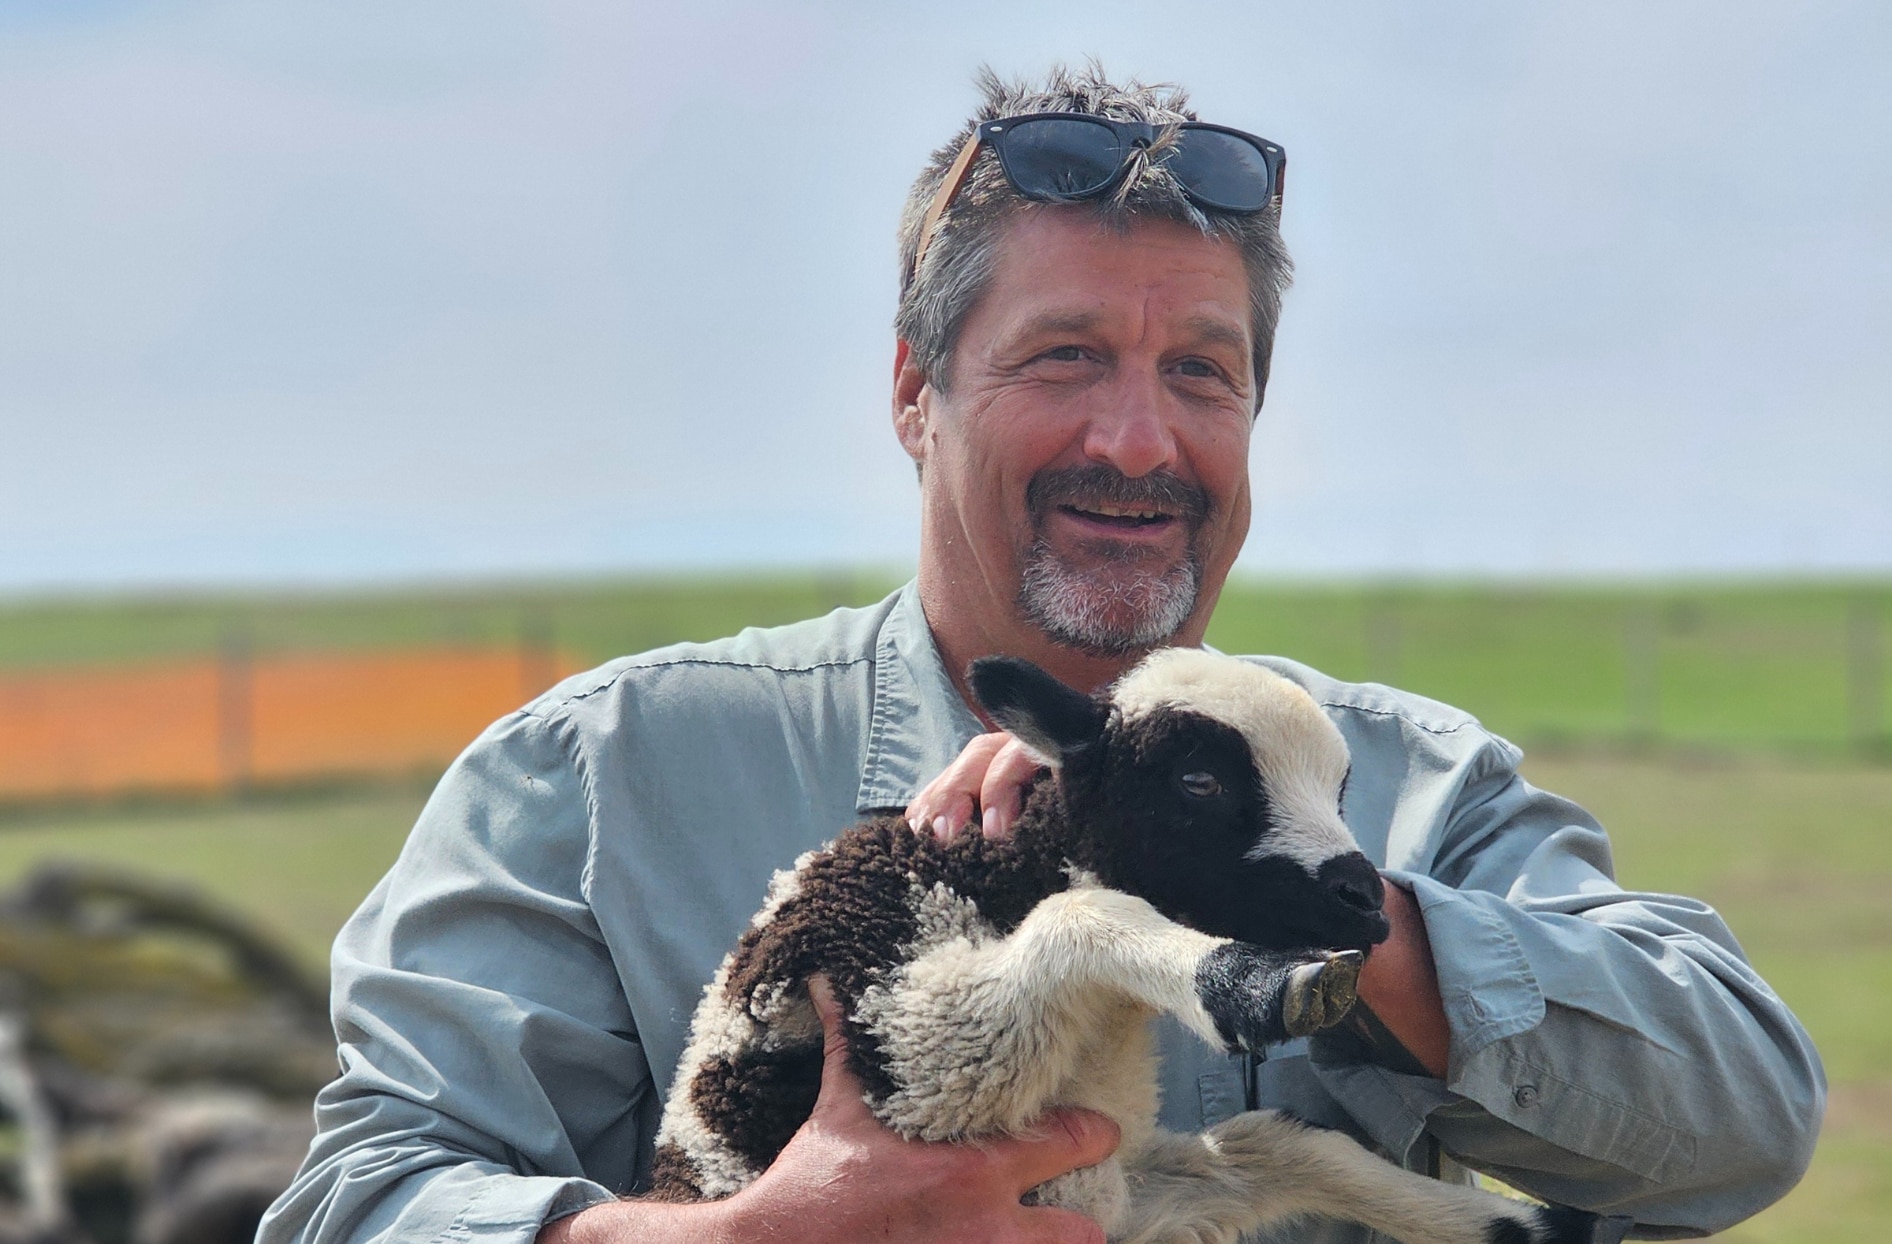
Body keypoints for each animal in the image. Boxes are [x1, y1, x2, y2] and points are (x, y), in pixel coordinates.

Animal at [650, 642, 1627, 1240]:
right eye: (1197, 781)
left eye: (1342, 791)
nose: (1365, 905)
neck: (1001, 873)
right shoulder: (897, 1040)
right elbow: (1078, 920)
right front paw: (1246, 981)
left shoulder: (1115, 1204)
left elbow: (1281, 1143)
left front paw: (1527, 1224)